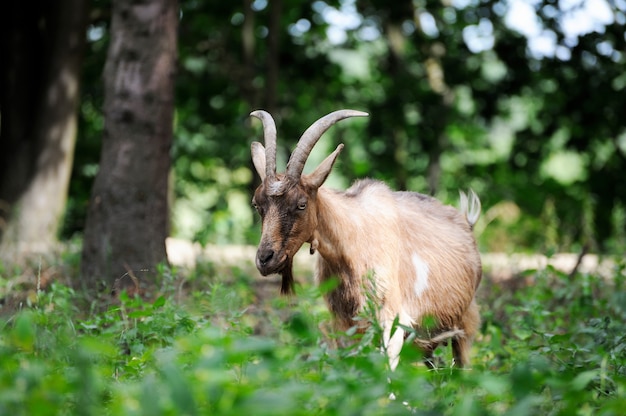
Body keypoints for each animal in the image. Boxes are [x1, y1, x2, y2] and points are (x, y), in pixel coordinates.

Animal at [246, 109, 480, 368]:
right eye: (257, 204)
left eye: (301, 204)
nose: (265, 259)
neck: (351, 242)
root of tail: (466, 220)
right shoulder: (344, 324)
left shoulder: (392, 321)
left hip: (466, 325)